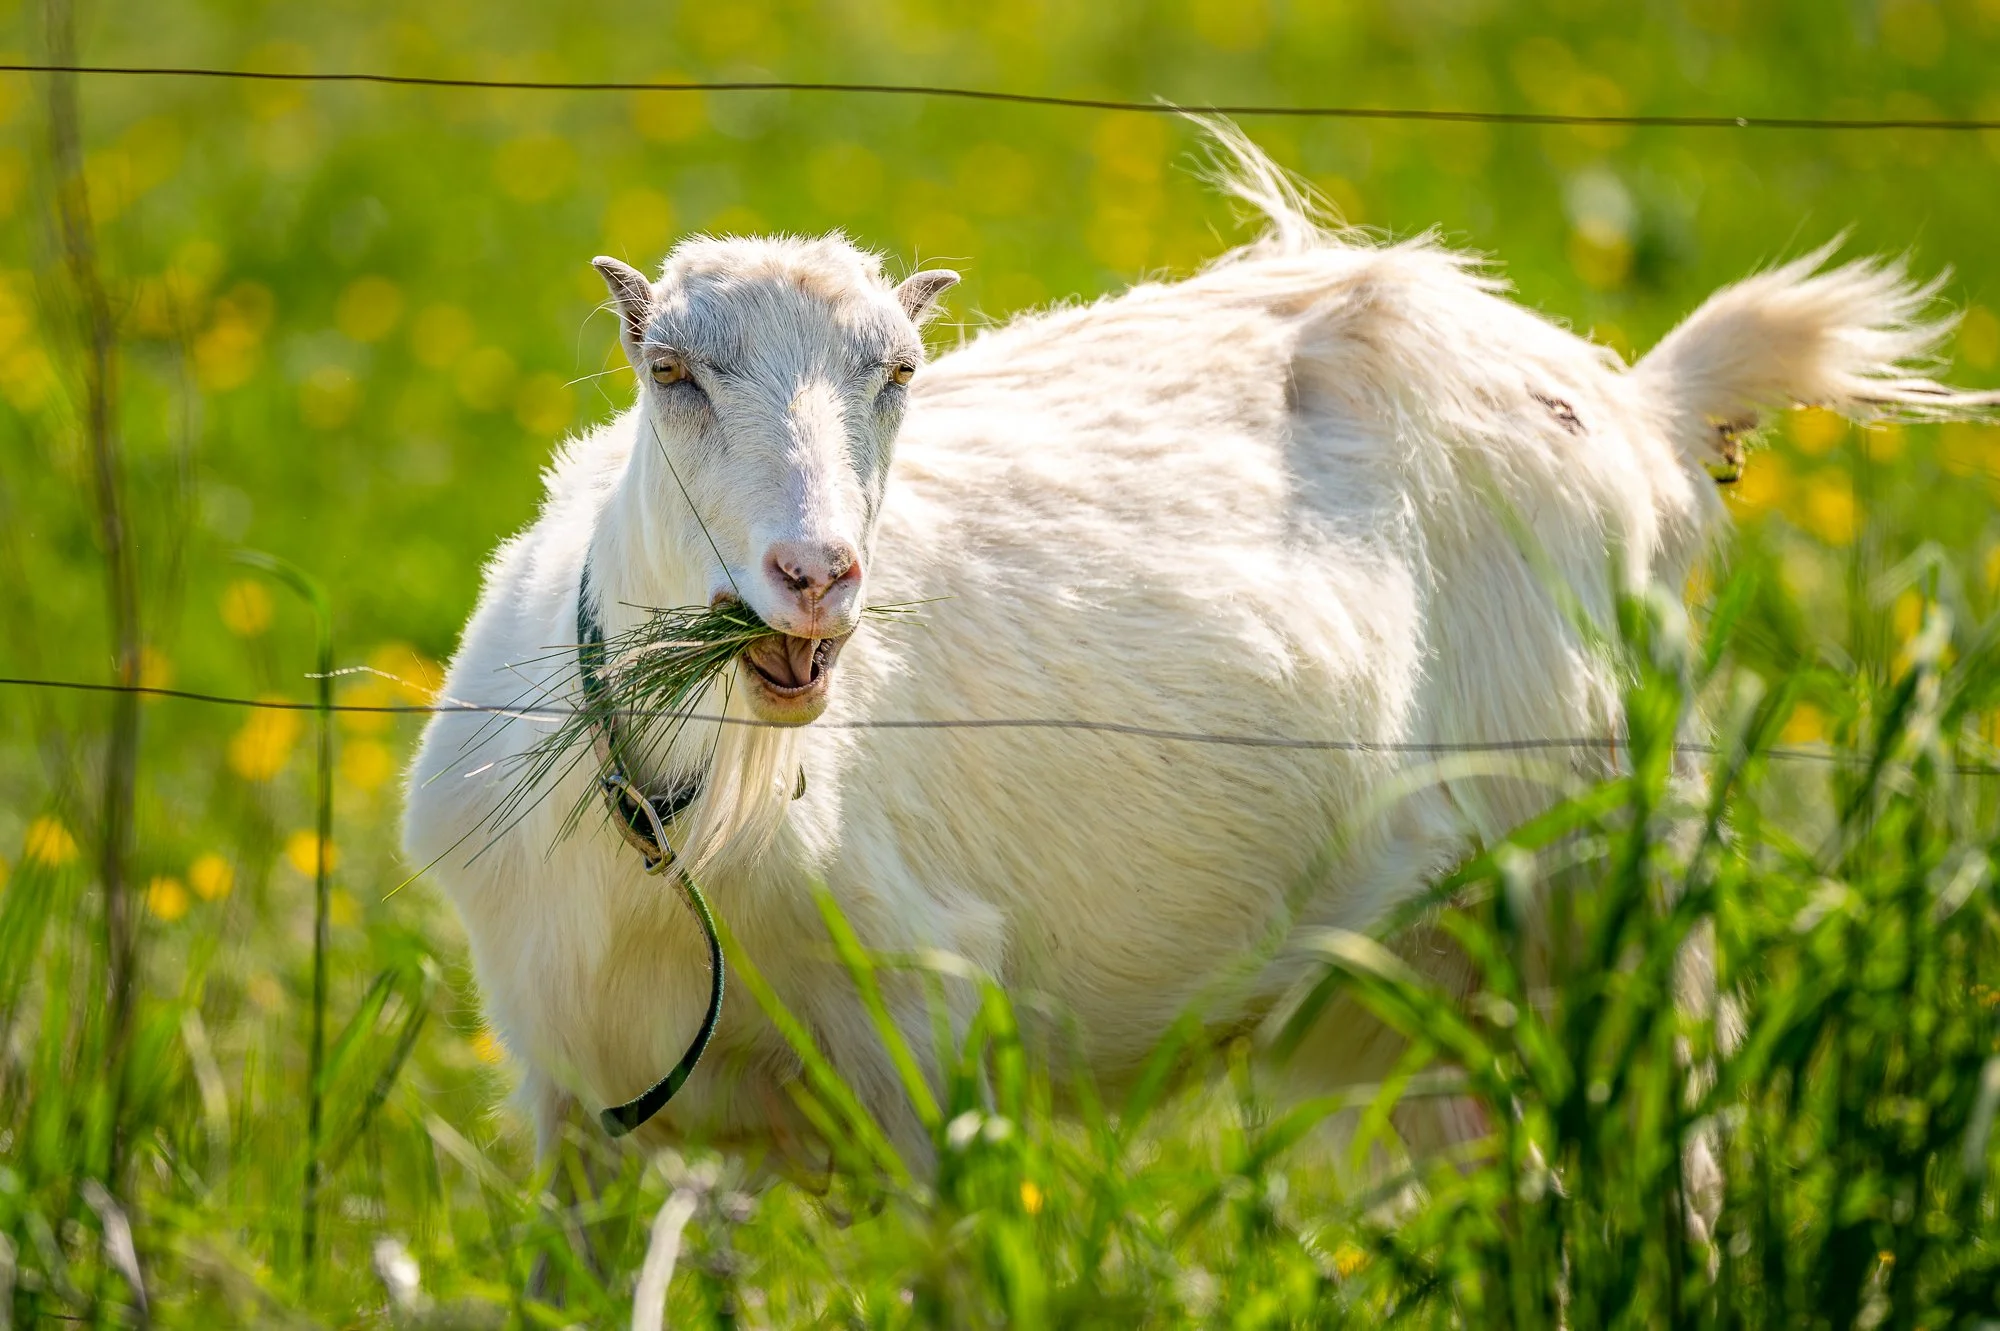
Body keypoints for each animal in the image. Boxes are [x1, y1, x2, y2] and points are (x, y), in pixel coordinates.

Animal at [402, 127, 1990, 1175]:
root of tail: (1633, 400)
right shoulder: (576, 1103)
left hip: (1612, 876)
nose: (817, 576)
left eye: (899, 374)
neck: (685, 830)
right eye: (670, 371)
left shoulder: (924, 1039)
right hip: (1425, 975)